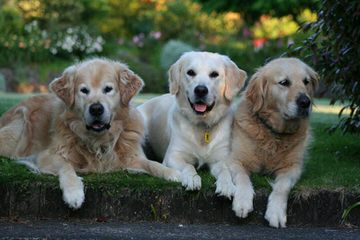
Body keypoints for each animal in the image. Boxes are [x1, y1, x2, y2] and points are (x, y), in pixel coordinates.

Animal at [0, 57, 180, 208]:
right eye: (84, 90)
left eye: (108, 89)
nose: (96, 109)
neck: (98, 140)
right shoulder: (47, 156)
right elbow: (66, 167)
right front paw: (73, 193)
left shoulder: (131, 157)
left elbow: (153, 164)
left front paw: (174, 173)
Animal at [138, 51, 248, 197]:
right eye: (190, 72)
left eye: (214, 74)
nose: (200, 90)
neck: (202, 126)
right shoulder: (173, 156)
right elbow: (188, 166)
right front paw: (192, 179)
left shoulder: (220, 159)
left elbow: (224, 170)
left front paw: (226, 185)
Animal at [229, 57, 320, 228]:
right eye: (284, 82)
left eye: (306, 81)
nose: (305, 102)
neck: (273, 133)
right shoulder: (235, 160)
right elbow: (243, 178)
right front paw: (242, 202)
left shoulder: (293, 167)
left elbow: (282, 186)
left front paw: (276, 212)